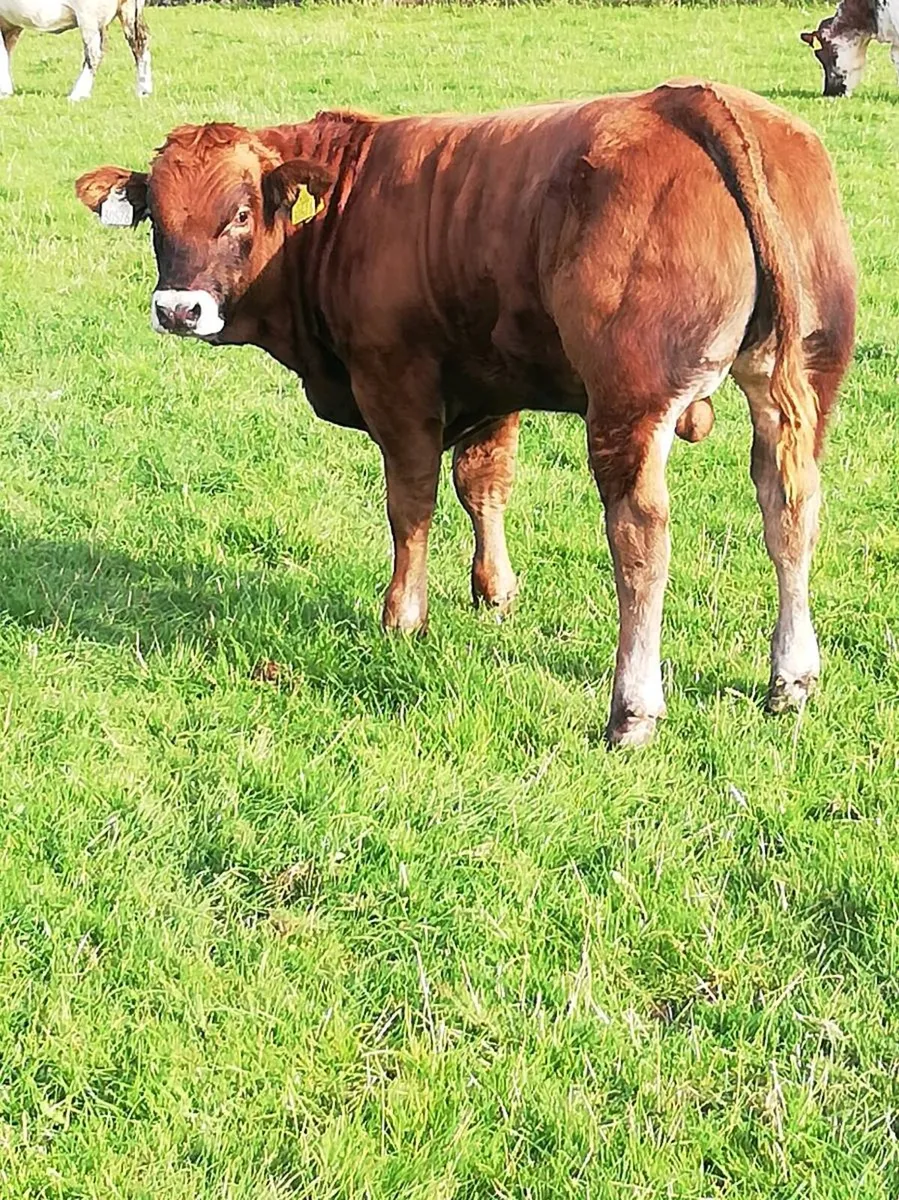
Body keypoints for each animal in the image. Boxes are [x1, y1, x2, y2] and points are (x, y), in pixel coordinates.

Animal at [0, 0, 151, 101]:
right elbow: (6, 53)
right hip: (129, 12)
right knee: (141, 43)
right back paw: (144, 91)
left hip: (89, 16)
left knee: (94, 53)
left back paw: (78, 94)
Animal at [74, 80, 856, 747]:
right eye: (156, 219)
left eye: (239, 212)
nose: (179, 310)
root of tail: (693, 98)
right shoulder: (494, 381)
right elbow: (483, 484)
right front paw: (495, 593)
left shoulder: (395, 382)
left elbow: (411, 502)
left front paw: (403, 616)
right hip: (802, 378)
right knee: (789, 507)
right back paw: (790, 679)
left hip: (628, 402)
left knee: (641, 538)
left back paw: (631, 710)